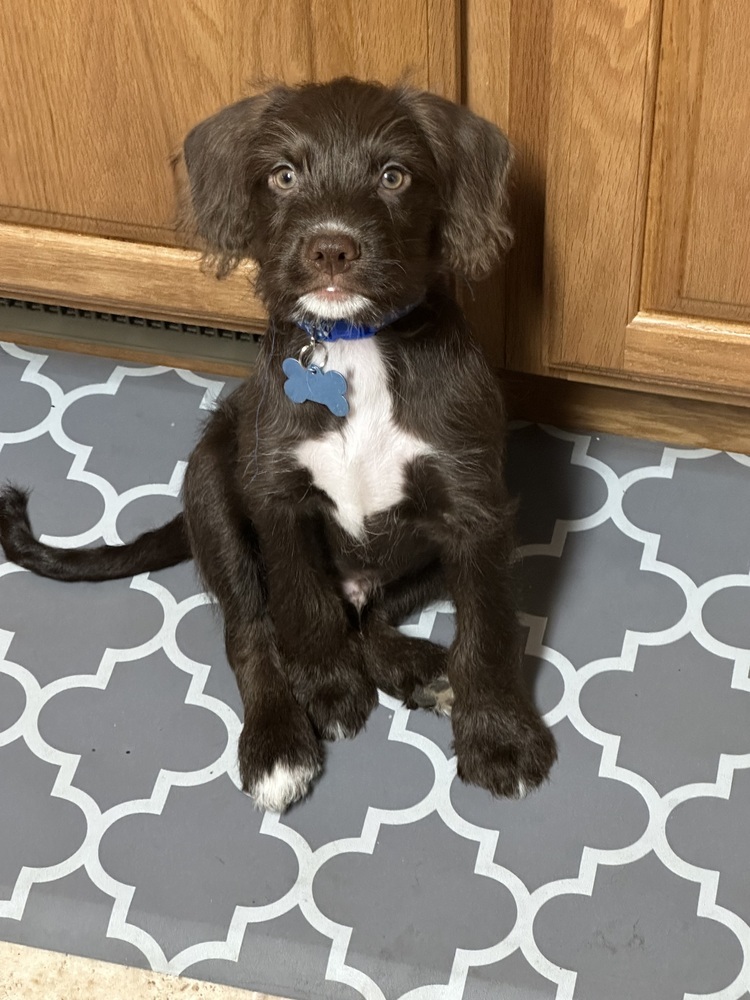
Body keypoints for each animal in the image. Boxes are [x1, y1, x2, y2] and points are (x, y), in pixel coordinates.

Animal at [0, 80, 556, 812]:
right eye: (283, 176)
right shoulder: (278, 497)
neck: (356, 345)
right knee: (252, 631)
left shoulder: (475, 513)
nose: (332, 249)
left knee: (371, 613)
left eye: (394, 175)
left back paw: (421, 669)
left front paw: (497, 737)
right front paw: (326, 686)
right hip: (212, 489)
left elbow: (487, 628)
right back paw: (277, 741)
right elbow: (299, 603)